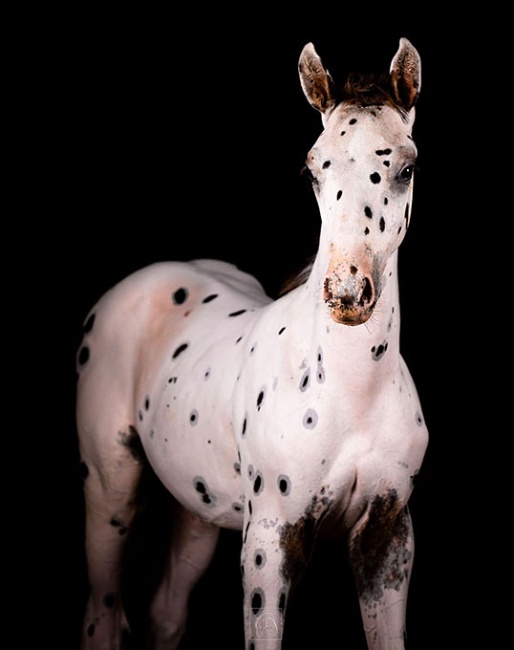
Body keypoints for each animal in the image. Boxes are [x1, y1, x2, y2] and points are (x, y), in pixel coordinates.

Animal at [76, 36, 426, 648]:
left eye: (405, 167)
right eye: (313, 169)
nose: (347, 290)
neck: (353, 391)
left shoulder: (386, 536)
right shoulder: (270, 538)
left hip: (197, 509)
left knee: (166, 611)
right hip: (110, 490)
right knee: (102, 614)